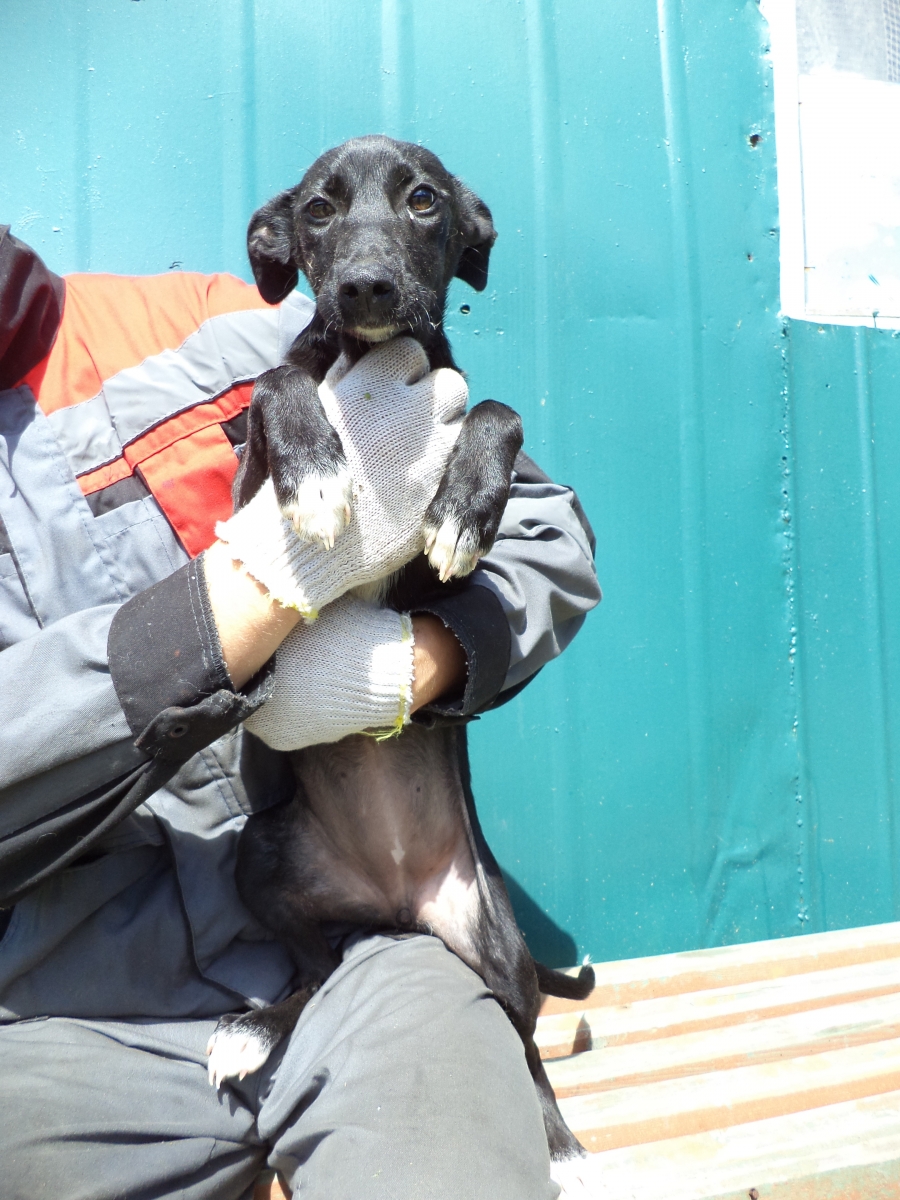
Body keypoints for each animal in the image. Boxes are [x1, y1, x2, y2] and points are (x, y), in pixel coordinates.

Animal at [207, 133, 595, 1161]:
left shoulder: (439, 582)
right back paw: (253, 1026)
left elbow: (496, 408)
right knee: (313, 968)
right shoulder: (245, 492)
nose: (368, 287)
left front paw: (463, 506)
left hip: (496, 932)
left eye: (424, 200)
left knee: (524, 1036)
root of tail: (394, 904)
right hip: (261, 859)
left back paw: (563, 1144)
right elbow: (279, 380)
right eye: (317, 210)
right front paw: (318, 474)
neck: (373, 358)